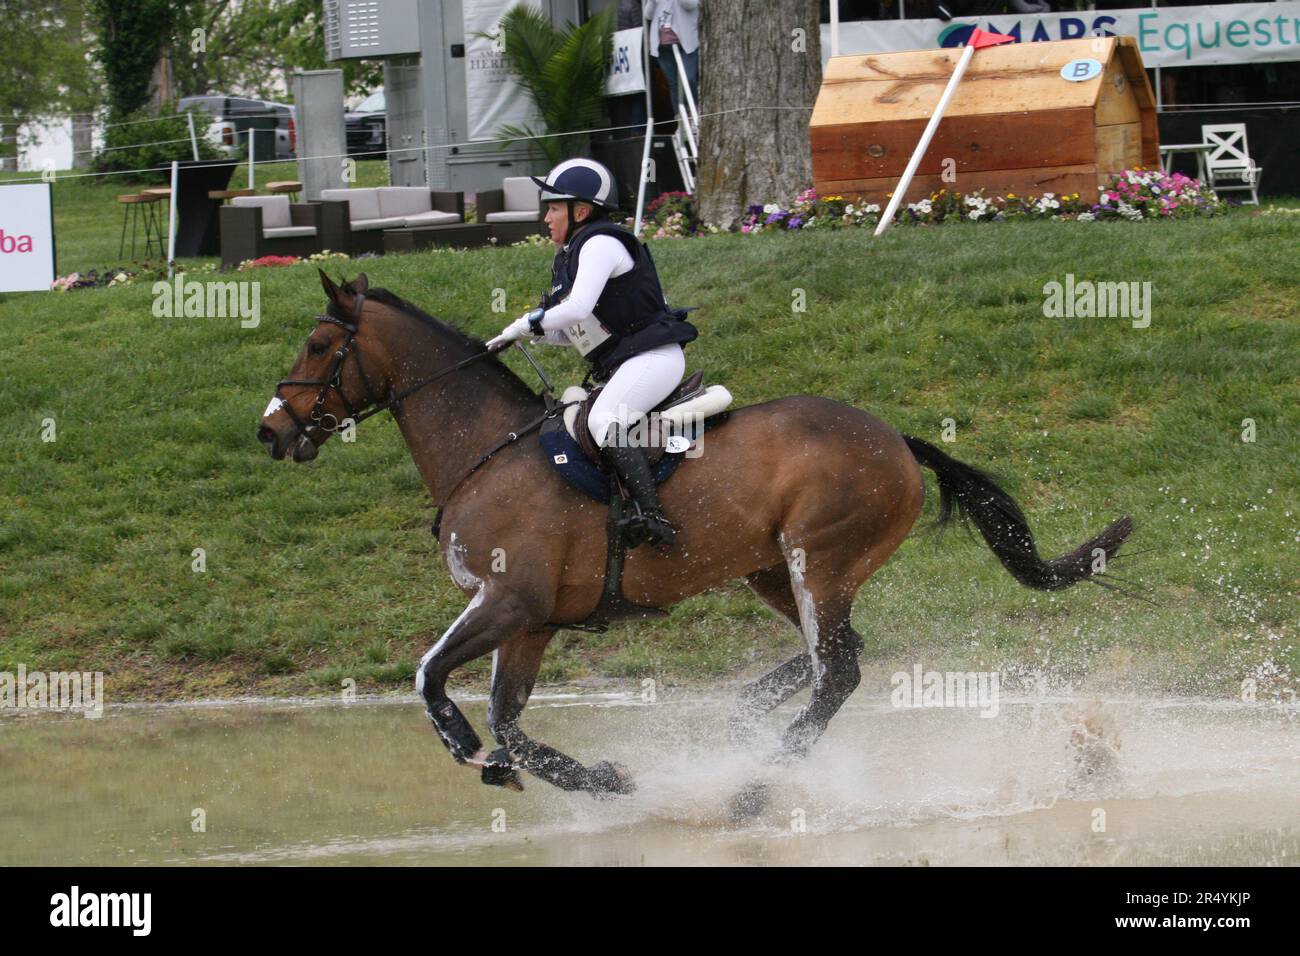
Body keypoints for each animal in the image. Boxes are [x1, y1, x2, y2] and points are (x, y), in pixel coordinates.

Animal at [261, 269, 1128, 806]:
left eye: (318, 346)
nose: (271, 431)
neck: (487, 449)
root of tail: (896, 440)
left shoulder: (508, 599)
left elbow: (430, 678)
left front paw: (471, 752)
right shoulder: (530, 621)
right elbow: (510, 720)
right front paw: (599, 779)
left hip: (820, 559)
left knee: (838, 672)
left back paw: (754, 787)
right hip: (774, 571)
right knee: (835, 654)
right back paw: (745, 724)